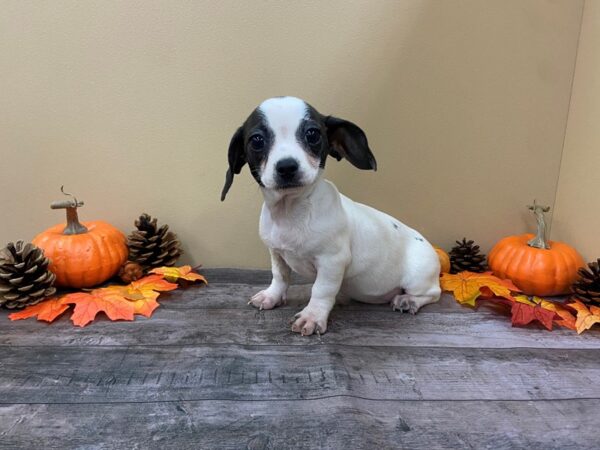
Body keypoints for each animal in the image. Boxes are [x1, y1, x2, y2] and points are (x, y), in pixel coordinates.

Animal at [221, 99, 440, 338]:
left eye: (313, 134)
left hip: (418, 278)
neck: (292, 212)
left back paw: (408, 301)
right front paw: (272, 296)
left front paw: (312, 316)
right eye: (257, 140)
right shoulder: (277, 254)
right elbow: (280, 277)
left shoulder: (332, 262)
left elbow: (321, 290)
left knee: (434, 293)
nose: (287, 166)